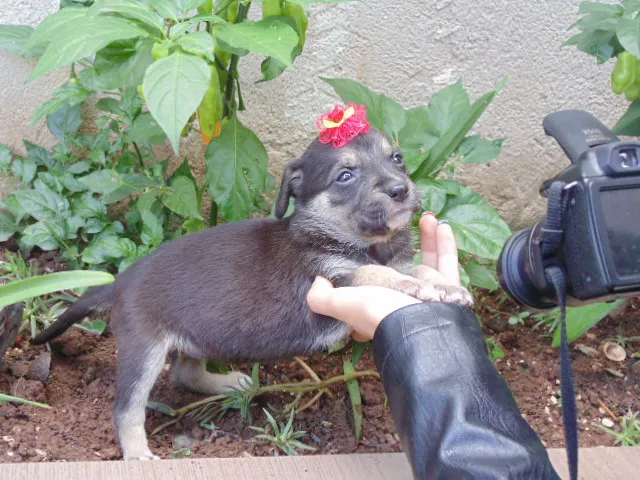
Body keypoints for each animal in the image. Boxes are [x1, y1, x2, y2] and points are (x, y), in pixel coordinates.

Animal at [32, 126, 472, 458]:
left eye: (396, 158)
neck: (362, 242)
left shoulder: (387, 261)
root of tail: (120, 281)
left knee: (184, 372)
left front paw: (449, 285)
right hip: (144, 348)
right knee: (127, 407)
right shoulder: (331, 281)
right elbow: (375, 274)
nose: (400, 189)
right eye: (345, 176)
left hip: (199, 333)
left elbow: (414, 266)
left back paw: (231, 385)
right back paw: (138, 455)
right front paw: (413, 286)